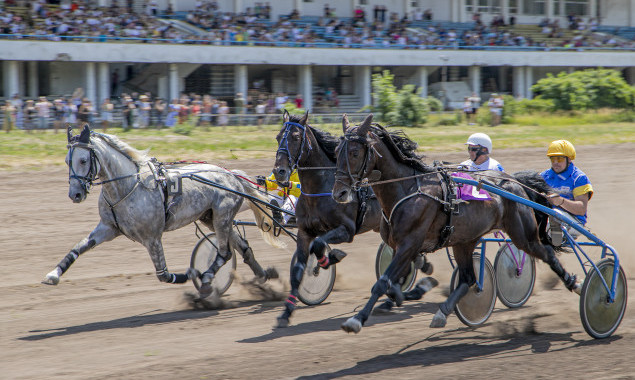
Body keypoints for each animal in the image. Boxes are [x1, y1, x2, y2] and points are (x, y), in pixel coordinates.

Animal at [44, 124, 280, 294]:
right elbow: (78, 248)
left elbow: (163, 274)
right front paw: (53, 274)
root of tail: (231, 175)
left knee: (225, 252)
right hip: (212, 219)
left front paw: (191, 273)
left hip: (222, 217)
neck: (127, 187)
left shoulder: (152, 238)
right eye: (67, 161)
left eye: (83, 160)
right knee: (243, 248)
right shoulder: (108, 228)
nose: (75, 194)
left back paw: (206, 277)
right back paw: (262, 275)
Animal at [274, 111, 438, 328]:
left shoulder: (346, 230)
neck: (321, 188)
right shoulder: (304, 232)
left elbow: (319, 244)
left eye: (295, 137)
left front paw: (329, 259)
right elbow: (297, 272)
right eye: (277, 137)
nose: (279, 171)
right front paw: (286, 313)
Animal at [332, 114, 580, 334]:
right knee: (468, 278)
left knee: (547, 253)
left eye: (354, 152)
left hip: (522, 236)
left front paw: (356, 319)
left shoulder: (409, 243)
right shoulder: (398, 246)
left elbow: (383, 282)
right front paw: (408, 292)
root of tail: (515, 182)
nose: (339, 193)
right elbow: (396, 281)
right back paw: (442, 312)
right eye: (335, 151)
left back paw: (573, 283)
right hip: (465, 240)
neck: (408, 189)